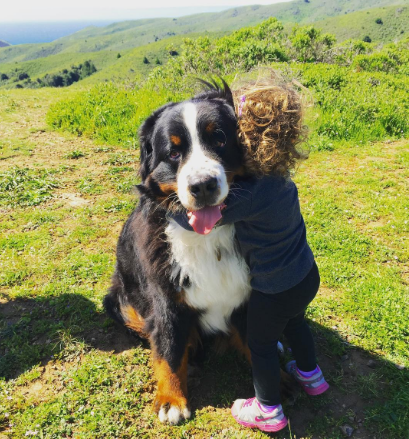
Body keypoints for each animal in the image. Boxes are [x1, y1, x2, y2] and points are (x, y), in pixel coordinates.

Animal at [103, 80, 292, 426]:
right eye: (173, 152)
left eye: (219, 138)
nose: (202, 185)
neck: (208, 237)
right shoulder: (166, 299)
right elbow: (168, 349)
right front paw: (171, 399)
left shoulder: (248, 293)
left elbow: (255, 342)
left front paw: (276, 382)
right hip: (120, 302)